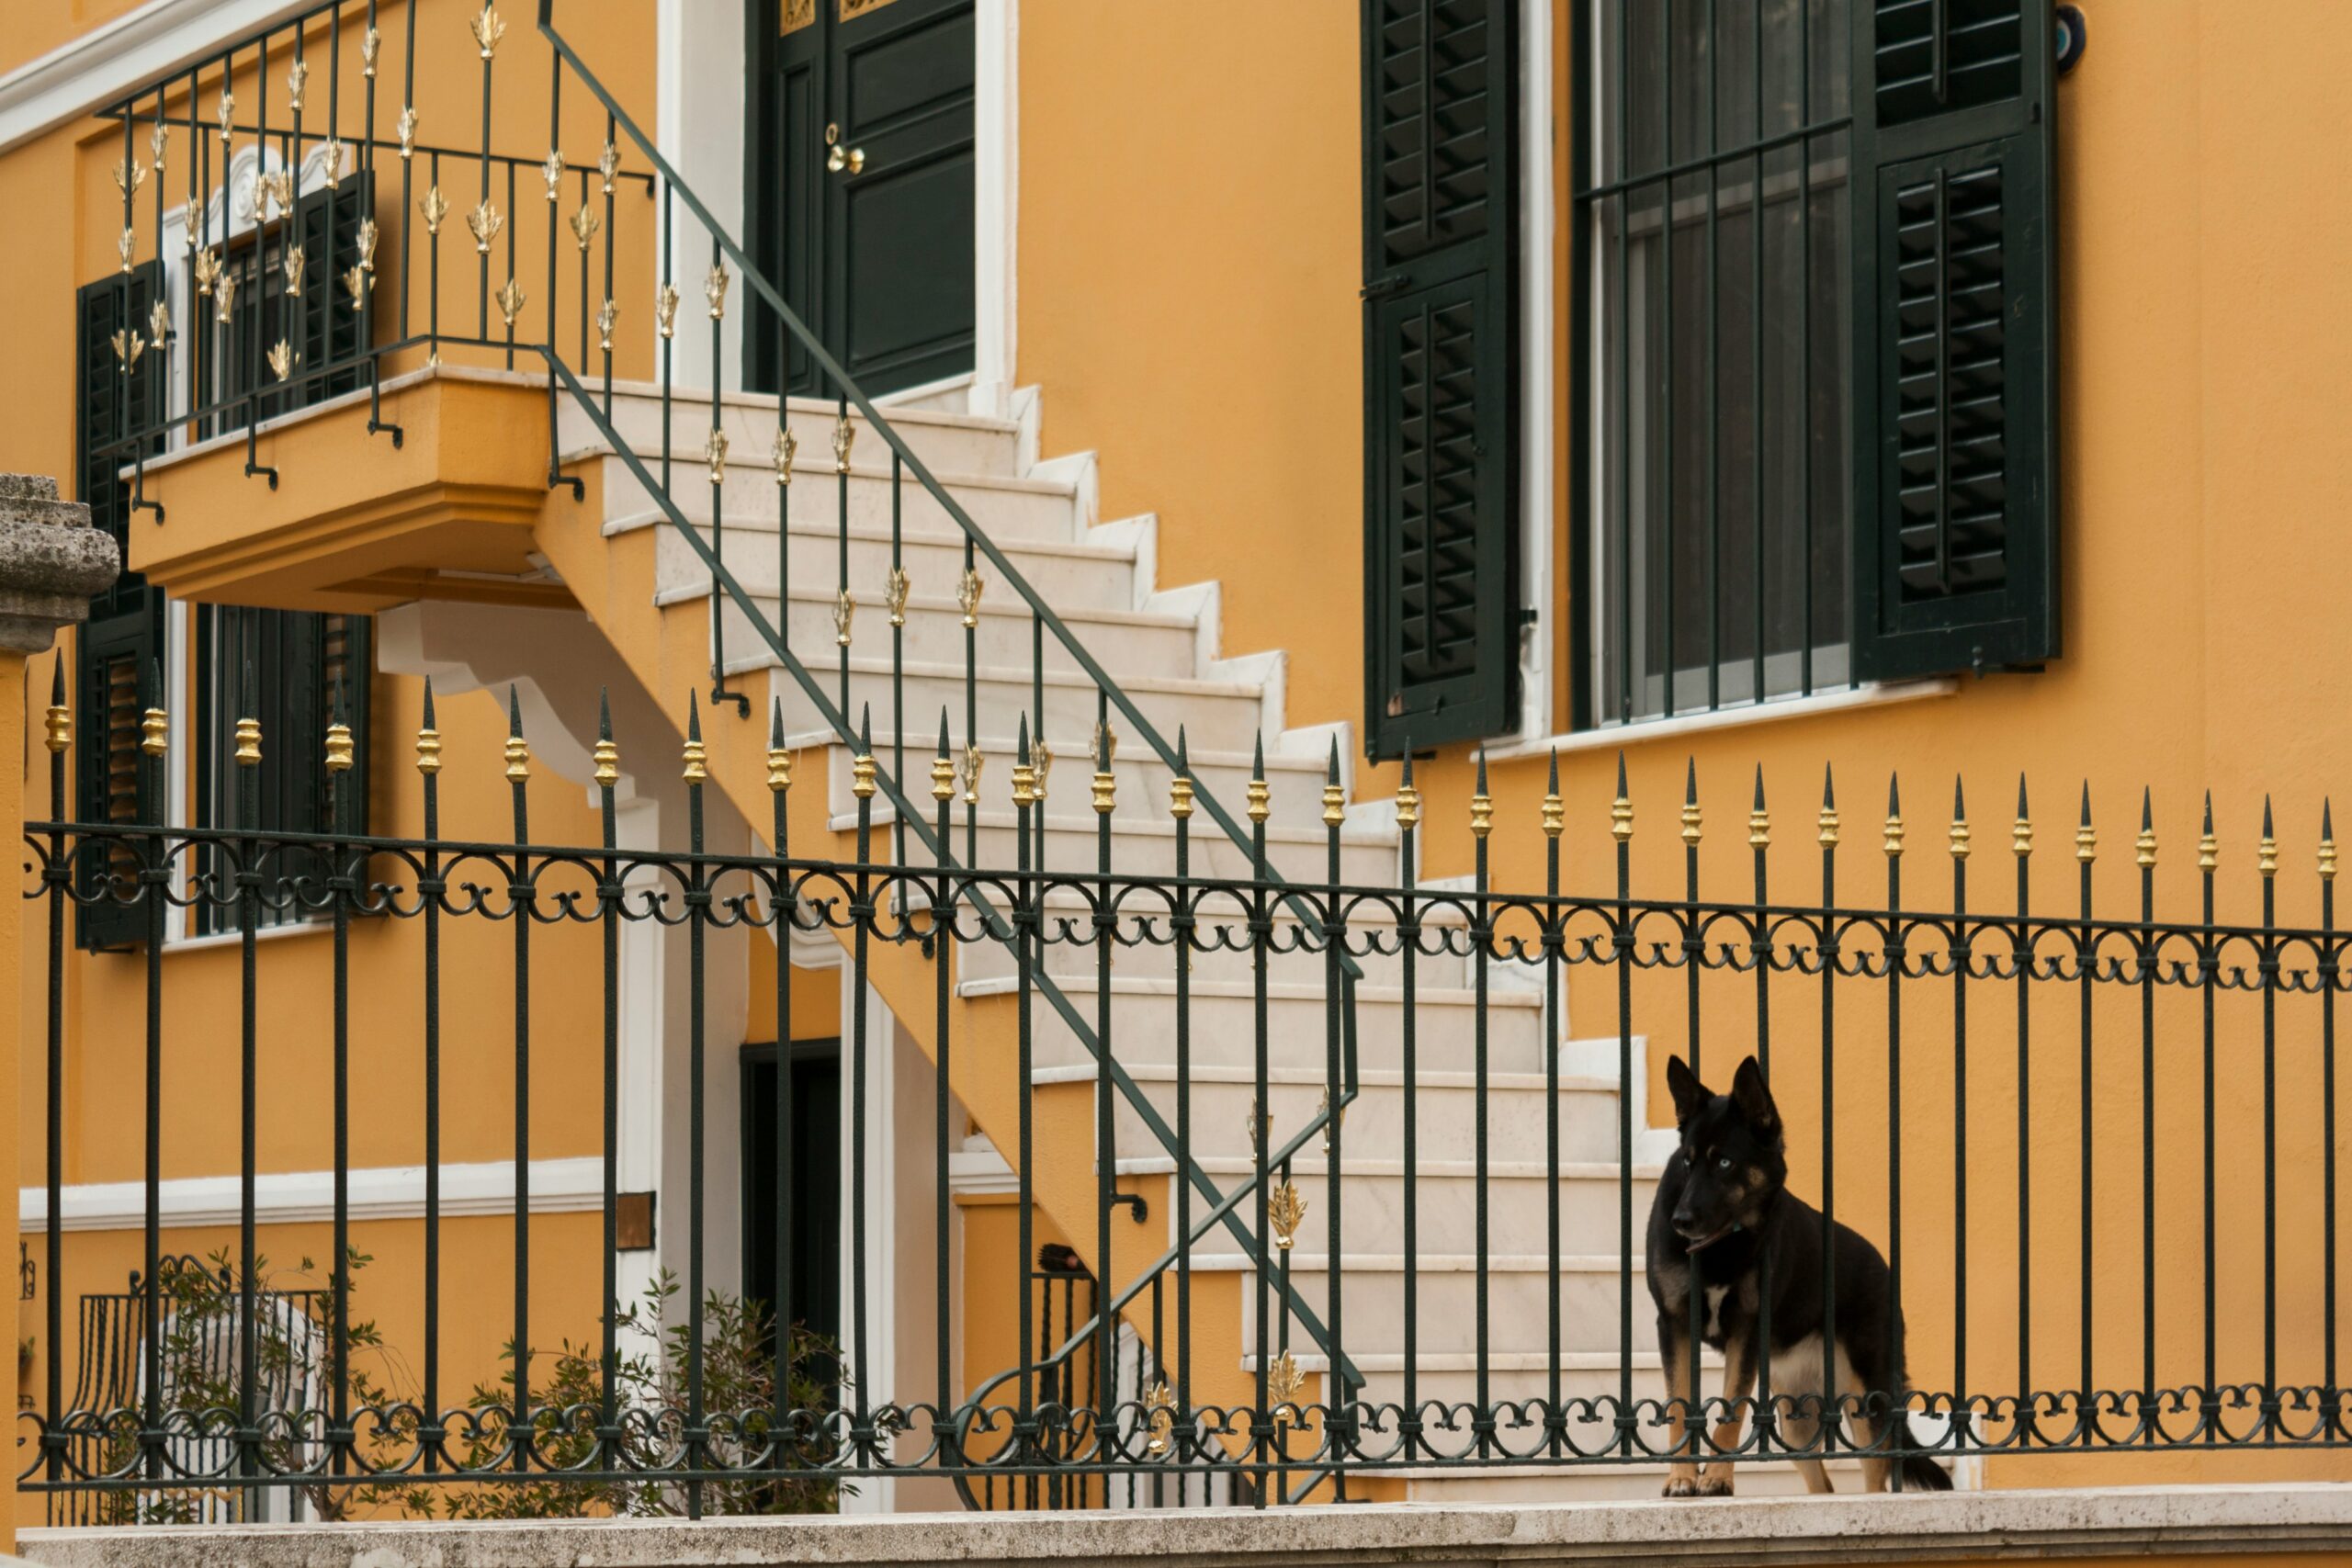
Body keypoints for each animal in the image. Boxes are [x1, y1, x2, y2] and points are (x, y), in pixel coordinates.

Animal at [1636, 1053, 1947, 1495]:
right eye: (1687, 1162)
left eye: (1725, 1162)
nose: (1680, 1222)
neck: (1723, 1242)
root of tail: (1884, 1267)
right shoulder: (1675, 1326)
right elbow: (1679, 1409)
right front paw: (1681, 1478)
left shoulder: (1746, 1332)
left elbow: (1730, 1415)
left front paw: (1716, 1479)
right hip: (1795, 1423)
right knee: (1824, 1488)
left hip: (1865, 1402)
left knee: (1876, 1477)